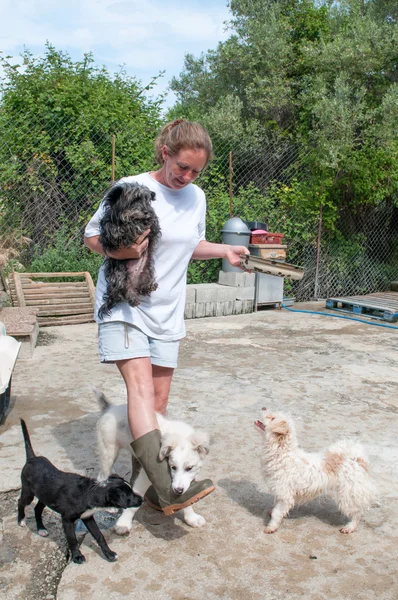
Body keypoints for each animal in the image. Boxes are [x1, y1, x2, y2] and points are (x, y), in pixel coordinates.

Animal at [18, 420, 144, 564]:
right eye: (129, 496)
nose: (142, 499)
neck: (90, 492)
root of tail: (32, 458)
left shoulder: (88, 517)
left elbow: (99, 536)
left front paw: (109, 554)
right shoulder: (67, 520)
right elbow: (72, 539)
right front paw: (77, 556)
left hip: (44, 495)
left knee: (37, 508)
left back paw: (41, 529)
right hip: (28, 492)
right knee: (20, 502)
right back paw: (21, 520)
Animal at [94, 390, 210, 536]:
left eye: (189, 468)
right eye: (172, 467)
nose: (177, 491)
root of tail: (110, 408)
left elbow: (187, 497)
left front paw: (191, 517)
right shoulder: (146, 474)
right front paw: (123, 524)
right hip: (108, 452)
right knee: (101, 476)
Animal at [98, 182, 162, 318]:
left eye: (147, 200)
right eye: (135, 199)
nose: (147, 212)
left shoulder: (153, 229)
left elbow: (151, 222)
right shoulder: (108, 232)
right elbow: (116, 229)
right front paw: (126, 227)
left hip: (148, 271)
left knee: (141, 287)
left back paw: (149, 286)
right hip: (119, 275)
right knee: (123, 291)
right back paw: (132, 299)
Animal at [253, 408, 378, 536]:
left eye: (272, 418)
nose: (263, 408)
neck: (282, 453)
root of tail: (357, 458)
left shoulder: (285, 495)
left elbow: (277, 513)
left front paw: (271, 527)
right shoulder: (279, 491)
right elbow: (276, 508)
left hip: (347, 493)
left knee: (357, 512)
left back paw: (350, 527)